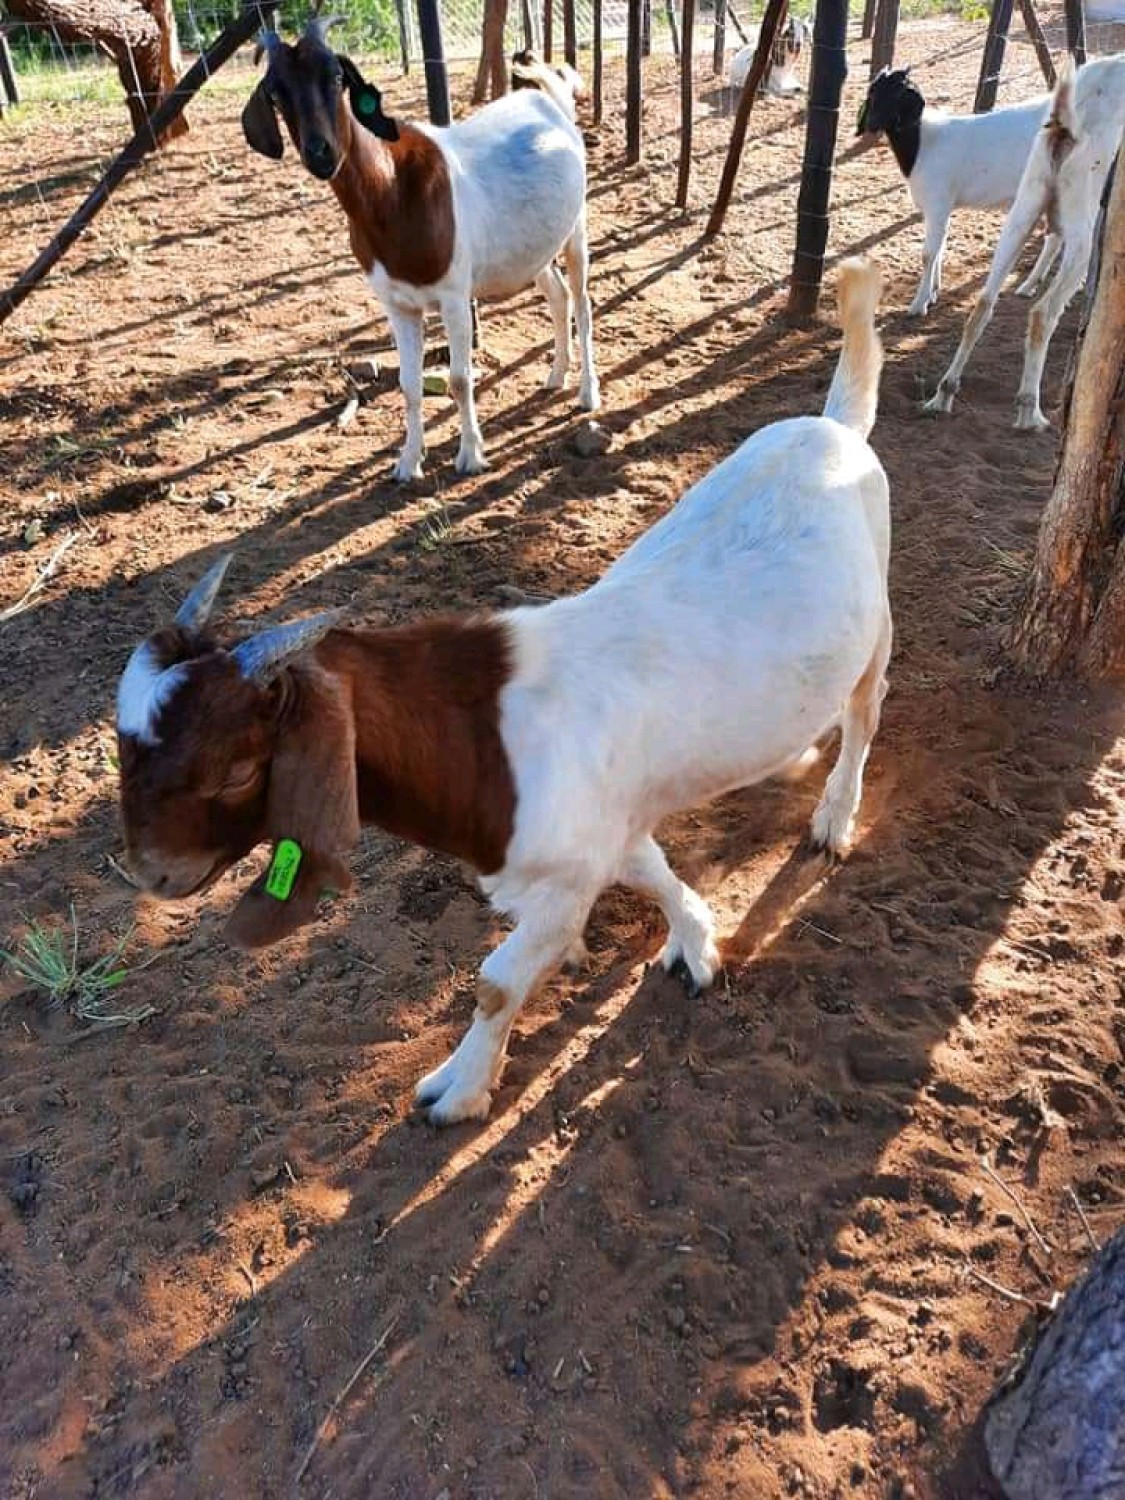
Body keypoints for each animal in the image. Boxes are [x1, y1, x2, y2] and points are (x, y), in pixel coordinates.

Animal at [116, 260, 891, 1127]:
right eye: (122, 749)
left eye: (239, 771)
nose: (152, 876)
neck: (483, 732)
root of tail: (832, 428)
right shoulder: (603, 832)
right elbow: (651, 870)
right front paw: (693, 941)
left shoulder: (563, 879)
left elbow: (493, 984)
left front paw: (456, 1091)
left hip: (878, 628)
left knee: (865, 715)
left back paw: (832, 818)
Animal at [241, 22, 599, 481]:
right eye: (275, 92)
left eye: (336, 77)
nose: (321, 153)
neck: (393, 190)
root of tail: (550, 100)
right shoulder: (397, 304)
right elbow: (409, 386)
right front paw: (408, 462)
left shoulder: (454, 295)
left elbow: (460, 379)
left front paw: (471, 455)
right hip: (532, 248)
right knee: (558, 296)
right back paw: (556, 375)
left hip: (576, 228)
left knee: (583, 302)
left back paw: (587, 393)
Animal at [857, 68, 1056, 317]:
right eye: (873, 92)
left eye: (898, 94)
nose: (871, 124)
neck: (923, 144)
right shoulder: (941, 207)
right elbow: (940, 247)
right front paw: (933, 292)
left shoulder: (938, 203)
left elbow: (928, 253)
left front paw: (919, 304)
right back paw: (1029, 286)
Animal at [924, 53, 1125, 429]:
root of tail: (1067, 121)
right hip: (1084, 228)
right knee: (1043, 312)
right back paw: (1029, 412)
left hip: (1024, 209)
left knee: (983, 303)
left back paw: (942, 396)